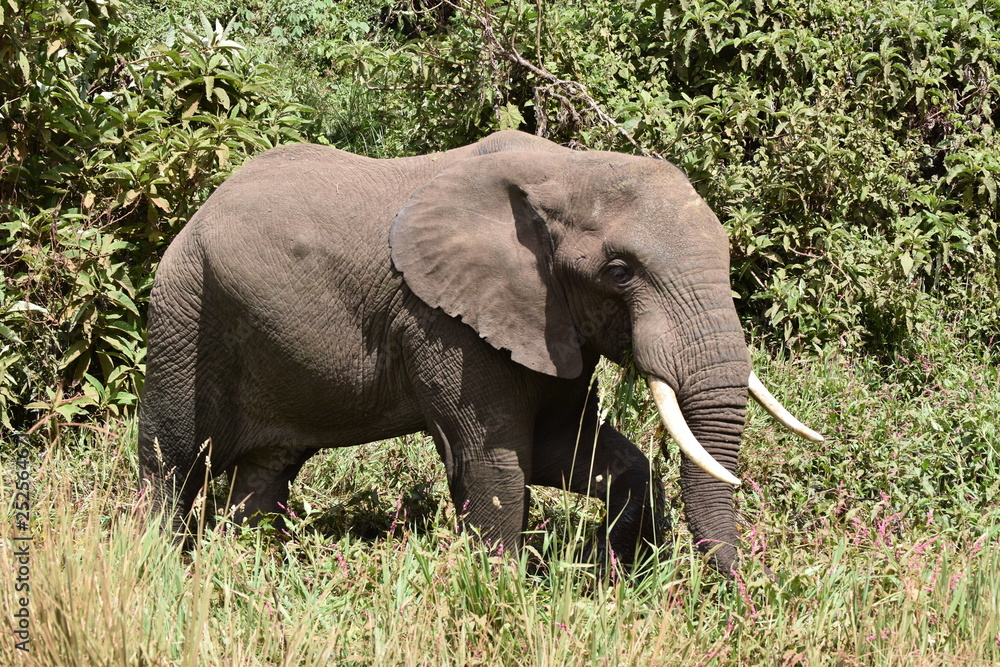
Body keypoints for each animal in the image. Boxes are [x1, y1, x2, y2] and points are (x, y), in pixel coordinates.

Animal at [139, 129, 820, 576]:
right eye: (620, 270)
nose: (743, 590)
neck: (566, 169)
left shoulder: (549, 319)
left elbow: (567, 449)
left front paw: (613, 568)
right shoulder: (447, 323)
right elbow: (496, 463)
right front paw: (503, 593)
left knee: (265, 474)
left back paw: (248, 566)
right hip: (184, 314)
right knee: (170, 463)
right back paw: (153, 568)